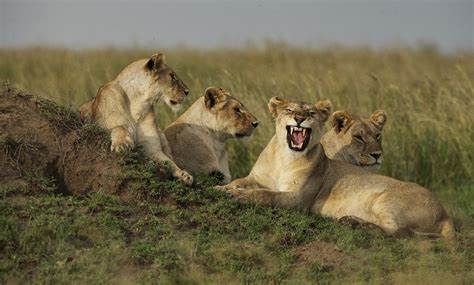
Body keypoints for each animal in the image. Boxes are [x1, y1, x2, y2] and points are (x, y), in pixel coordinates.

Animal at [79, 52, 193, 184]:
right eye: (172, 77)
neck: (139, 103)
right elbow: (119, 128)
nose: (187, 92)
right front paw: (121, 144)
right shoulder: (99, 124)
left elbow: (169, 163)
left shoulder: (152, 148)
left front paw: (184, 175)